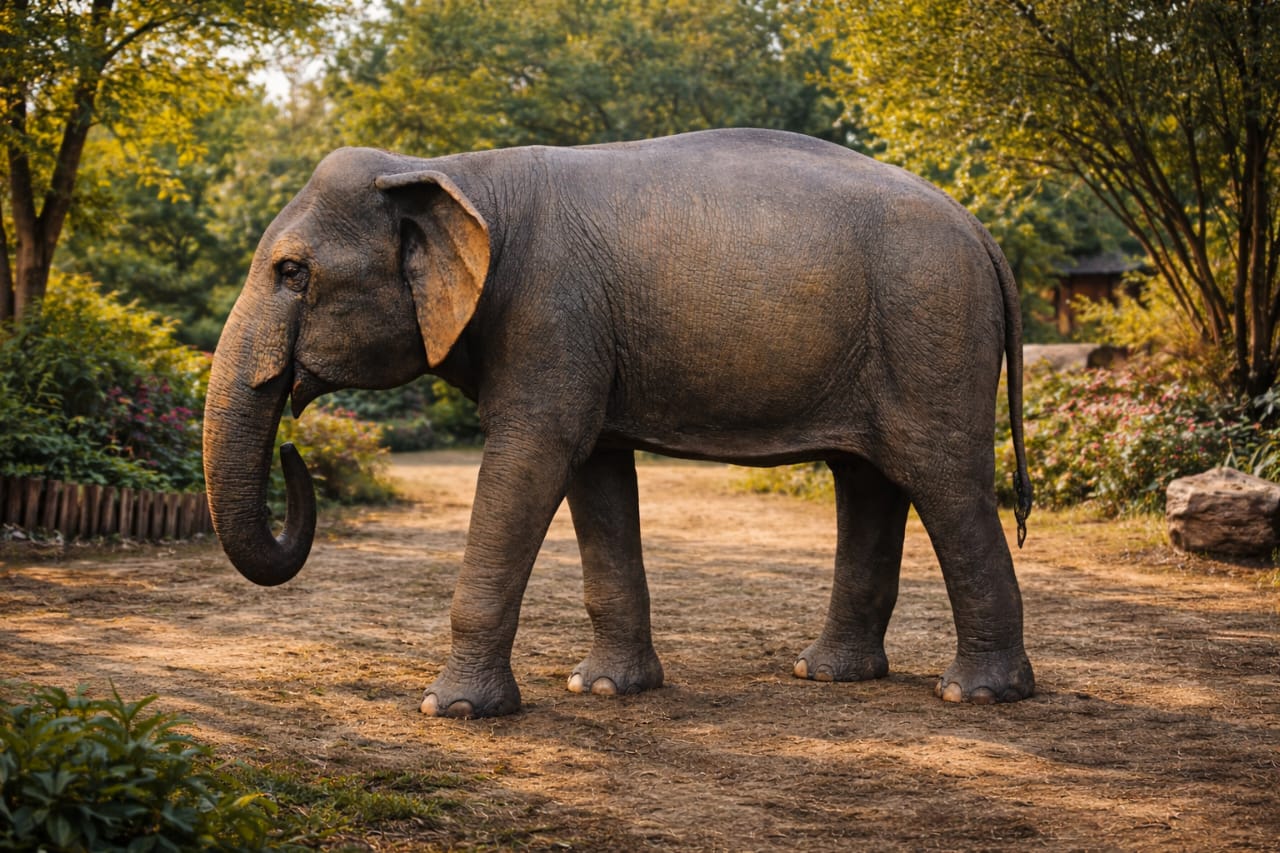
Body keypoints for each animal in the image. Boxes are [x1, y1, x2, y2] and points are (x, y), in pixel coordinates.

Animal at [203, 128, 1035, 719]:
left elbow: (533, 455)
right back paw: (828, 672)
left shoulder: (549, 313)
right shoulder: (582, 337)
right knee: (866, 479)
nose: (293, 447)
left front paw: (451, 709)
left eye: (292, 272)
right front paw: (603, 689)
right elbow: (595, 474)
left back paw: (975, 695)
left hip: (930, 324)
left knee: (944, 480)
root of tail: (981, 230)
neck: (448, 172)